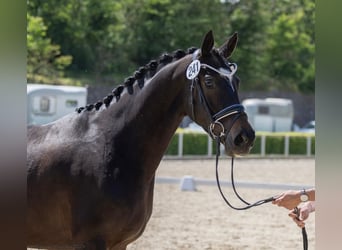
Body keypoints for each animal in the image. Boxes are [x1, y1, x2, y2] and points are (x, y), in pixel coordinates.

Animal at [28, 30, 255, 249]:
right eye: (209, 82)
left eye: (237, 82)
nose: (244, 138)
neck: (111, 147)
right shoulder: (90, 243)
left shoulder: (120, 244)